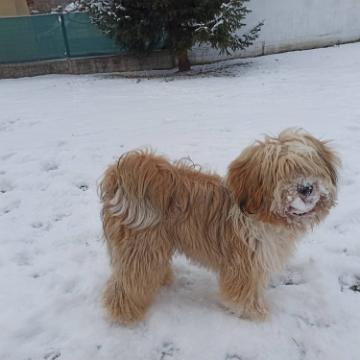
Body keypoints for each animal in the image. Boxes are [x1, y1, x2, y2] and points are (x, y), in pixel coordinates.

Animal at [99, 129, 340, 324]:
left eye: (310, 166)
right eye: (282, 173)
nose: (306, 188)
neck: (262, 215)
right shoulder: (244, 263)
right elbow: (244, 293)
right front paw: (253, 313)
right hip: (141, 248)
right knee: (128, 284)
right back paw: (123, 315)